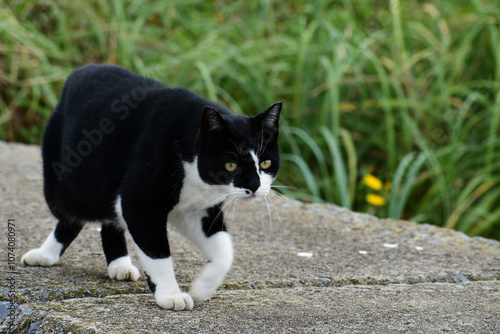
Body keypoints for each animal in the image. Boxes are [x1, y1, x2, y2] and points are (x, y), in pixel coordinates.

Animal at [22, 64, 282, 310]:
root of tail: (81, 70)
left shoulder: (197, 209)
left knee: (109, 216)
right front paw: (170, 295)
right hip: (66, 183)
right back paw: (45, 254)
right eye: (231, 165)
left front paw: (201, 289)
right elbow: (157, 251)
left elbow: (224, 252)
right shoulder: (140, 201)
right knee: (72, 214)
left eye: (266, 163)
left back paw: (120, 265)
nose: (254, 186)